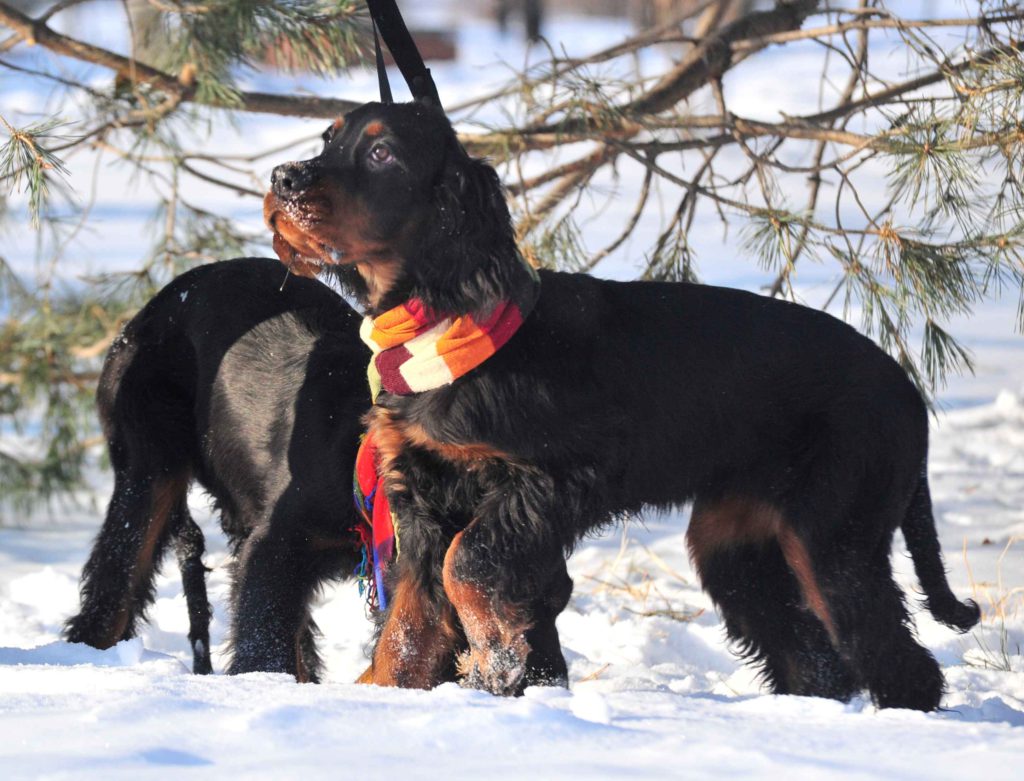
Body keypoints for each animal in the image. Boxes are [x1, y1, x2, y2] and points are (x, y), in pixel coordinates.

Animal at [262, 100, 974, 712]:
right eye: (329, 138)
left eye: (382, 152)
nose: (281, 178)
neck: (445, 317)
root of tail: (907, 388)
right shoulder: (420, 495)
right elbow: (411, 616)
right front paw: (388, 696)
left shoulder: (552, 479)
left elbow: (467, 563)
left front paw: (497, 654)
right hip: (739, 543)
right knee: (815, 659)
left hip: (831, 532)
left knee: (896, 657)